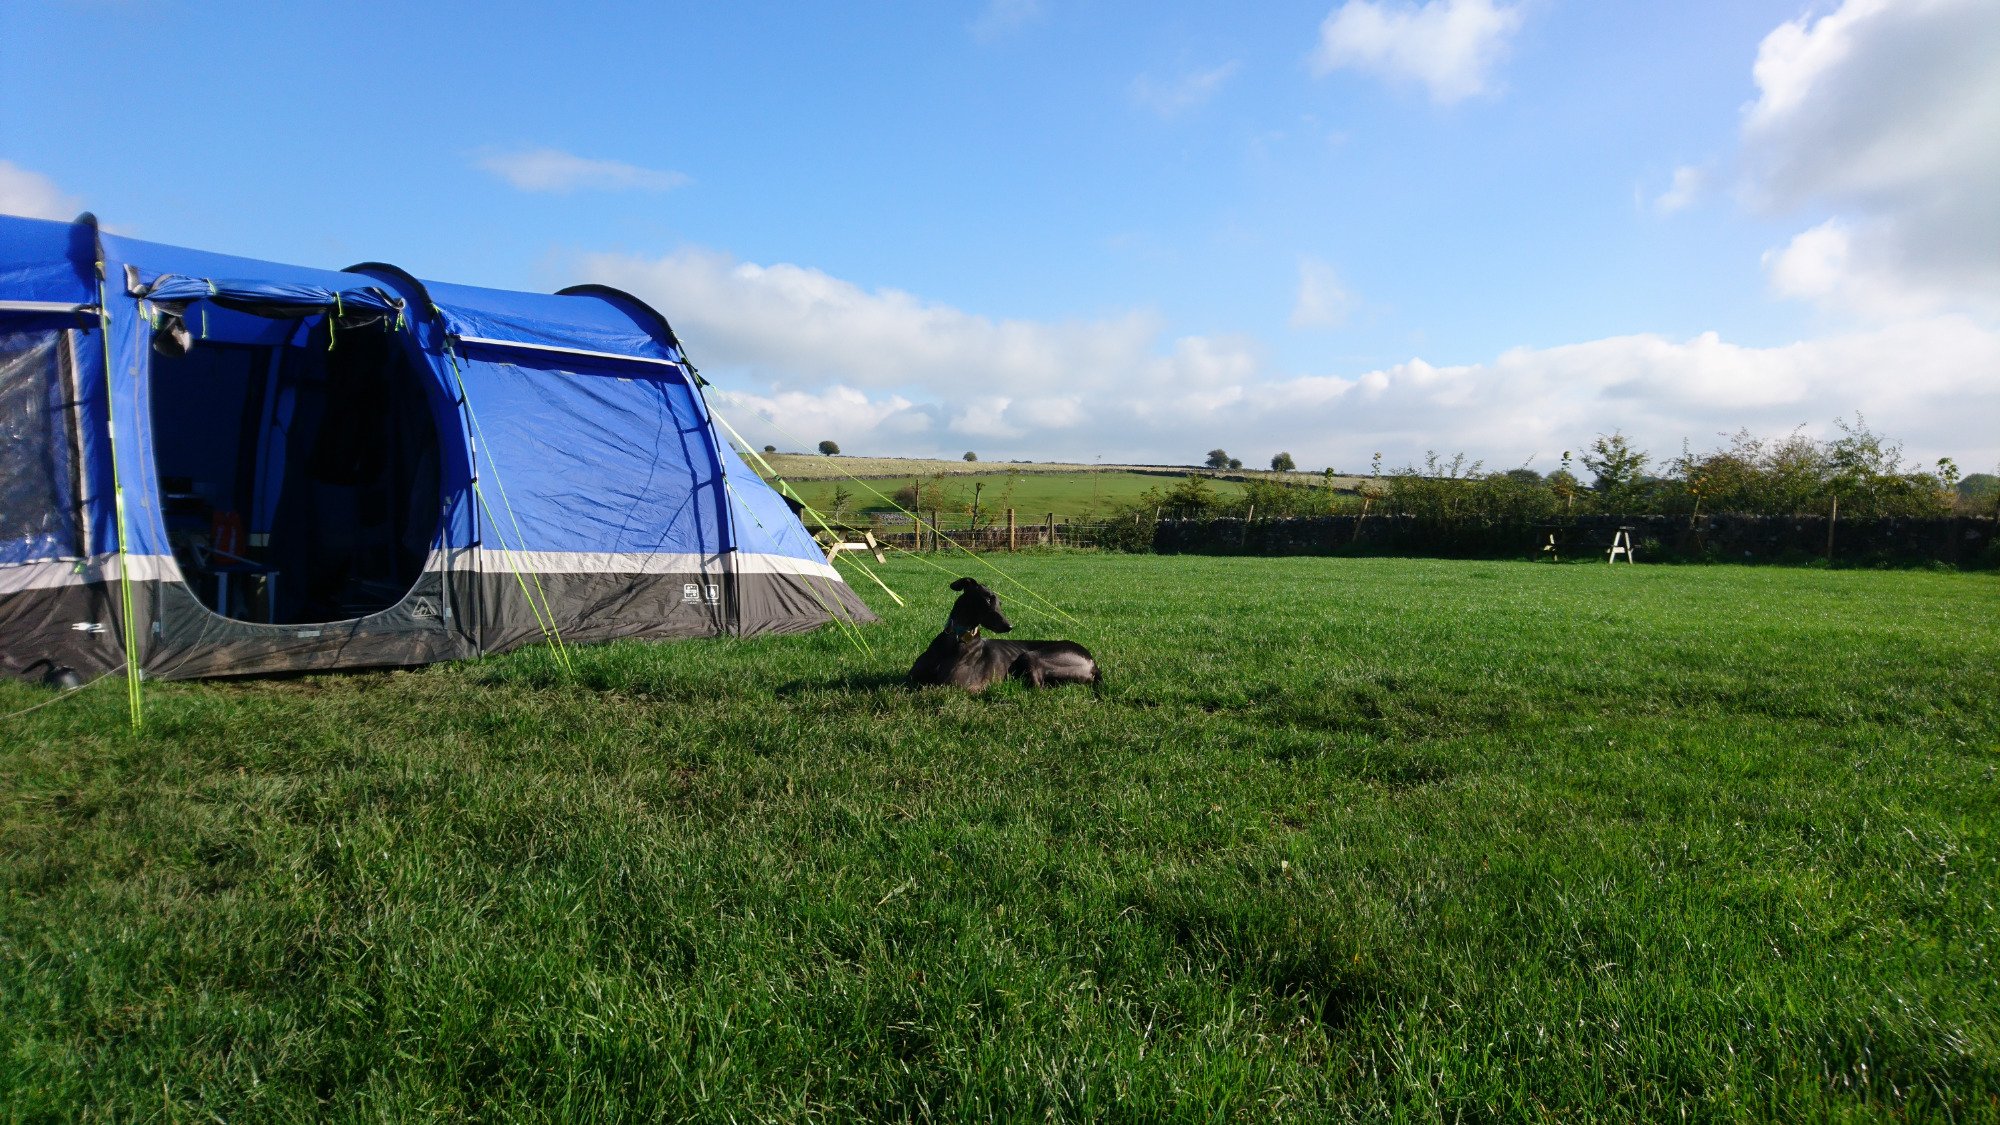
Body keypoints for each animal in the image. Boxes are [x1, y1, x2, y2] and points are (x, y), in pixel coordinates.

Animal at [912, 580, 1104, 688]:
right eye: (988, 598)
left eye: (1000, 603)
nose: (1009, 626)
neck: (957, 638)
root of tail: (1093, 663)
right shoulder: (910, 680)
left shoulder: (954, 687)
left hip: (1032, 656)